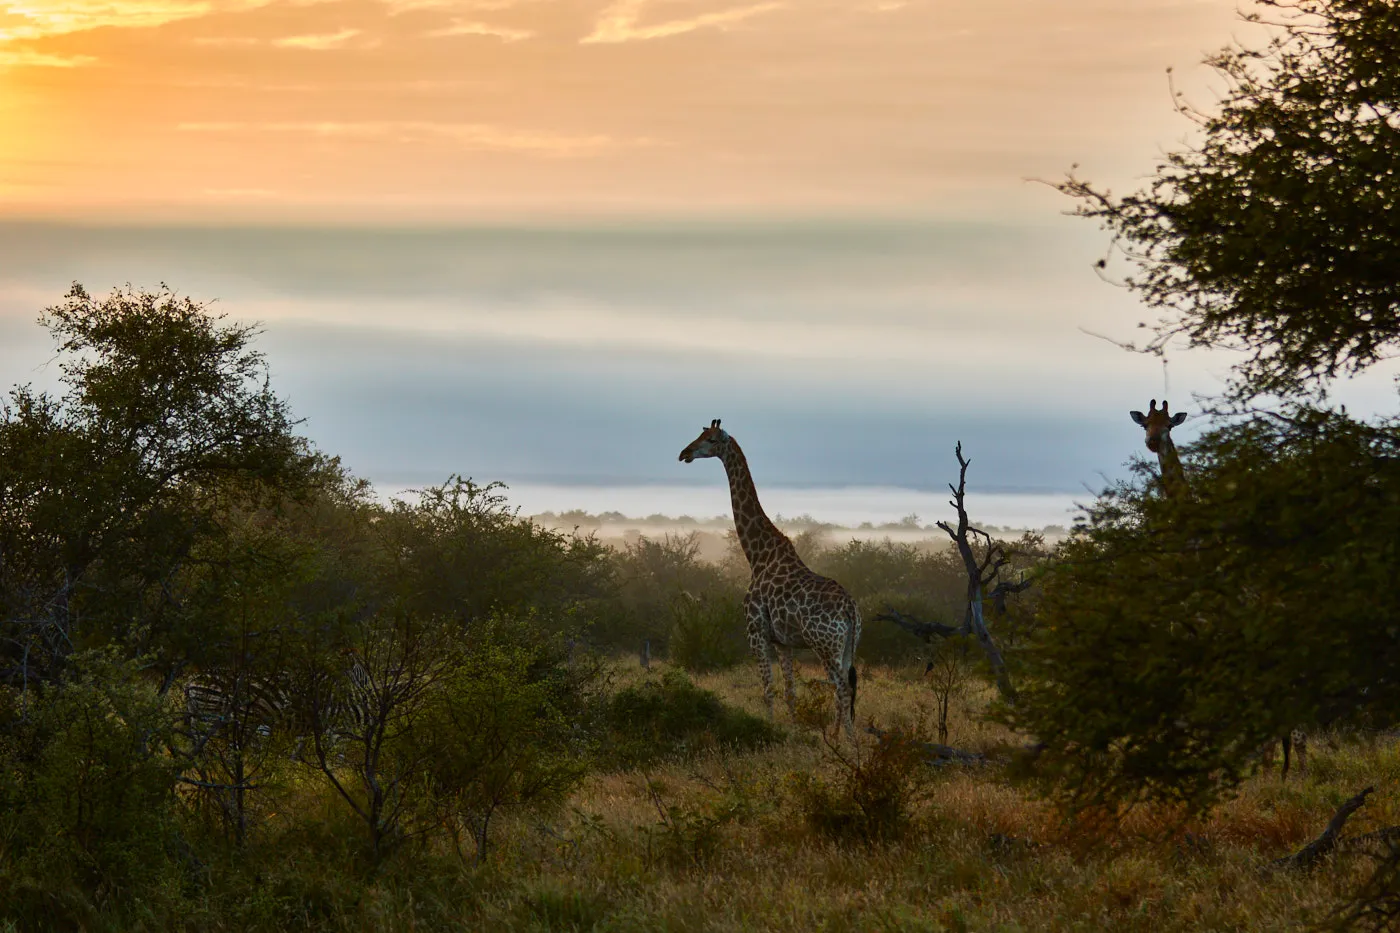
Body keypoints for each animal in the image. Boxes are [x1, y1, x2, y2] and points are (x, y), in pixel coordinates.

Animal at [678, 419, 861, 736]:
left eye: (711, 440)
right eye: (700, 434)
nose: (684, 453)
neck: (758, 556)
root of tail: (850, 609)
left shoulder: (756, 632)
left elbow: (767, 688)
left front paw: (769, 727)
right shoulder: (784, 641)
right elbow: (789, 691)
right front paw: (794, 730)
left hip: (825, 645)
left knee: (842, 688)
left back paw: (847, 742)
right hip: (849, 645)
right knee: (845, 688)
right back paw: (838, 737)